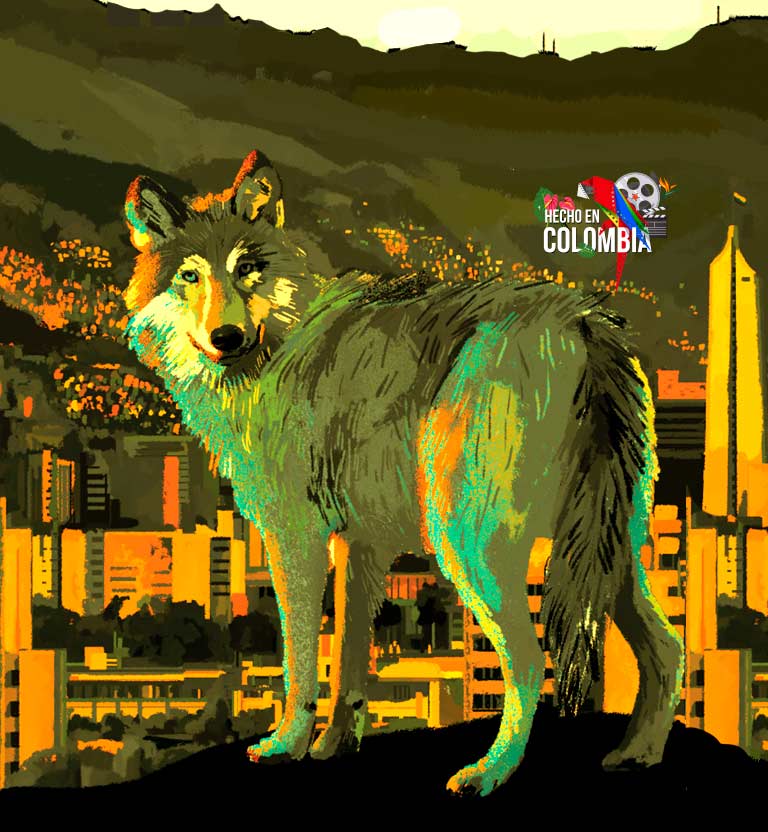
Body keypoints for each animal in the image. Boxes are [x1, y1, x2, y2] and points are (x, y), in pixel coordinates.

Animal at [122, 149, 684, 796]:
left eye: (247, 269)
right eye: (190, 277)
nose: (226, 336)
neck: (272, 353)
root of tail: (583, 319)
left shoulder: (295, 535)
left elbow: (300, 658)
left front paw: (287, 744)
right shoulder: (362, 544)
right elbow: (350, 657)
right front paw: (336, 746)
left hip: (469, 545)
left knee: (529, 660)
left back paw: (488, 774)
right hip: (606, 549)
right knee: (669, 647)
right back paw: (638, 754)